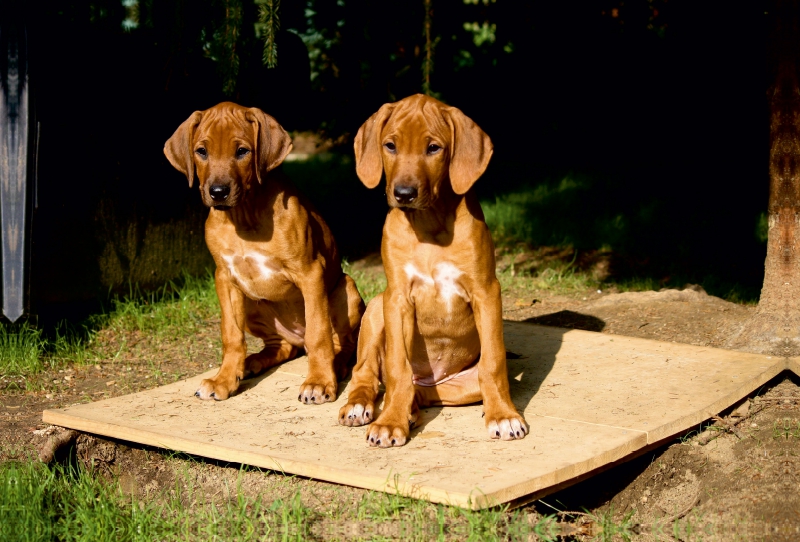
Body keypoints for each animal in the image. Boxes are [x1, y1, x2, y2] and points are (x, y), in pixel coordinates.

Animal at [164, 104, 364, 406]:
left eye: (242, 151)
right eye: (202, 151)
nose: (218, 192)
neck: (244, 216)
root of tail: (297, 338)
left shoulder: (310, 273)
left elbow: (319, 334)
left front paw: (319, 381)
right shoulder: (224, 279)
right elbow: (231, 335)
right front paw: (224, 378)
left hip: (345, 289)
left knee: (341, 341)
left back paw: (336, 365)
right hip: (252, 304)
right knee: (282, 346)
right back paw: (252, 362)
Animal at [340, 94, 528, 450]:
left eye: (433, 148)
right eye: (390, 146)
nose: (403, 194)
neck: (428, 224)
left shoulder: (486, 292)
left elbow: (494, 363)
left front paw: (503, 416)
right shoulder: (397, 298)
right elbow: (397, 368)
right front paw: (390, 422)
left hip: (459, 383)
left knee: (425, 392)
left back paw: (412, 410)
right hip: (376, 309)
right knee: (367, 373)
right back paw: (363, 405)